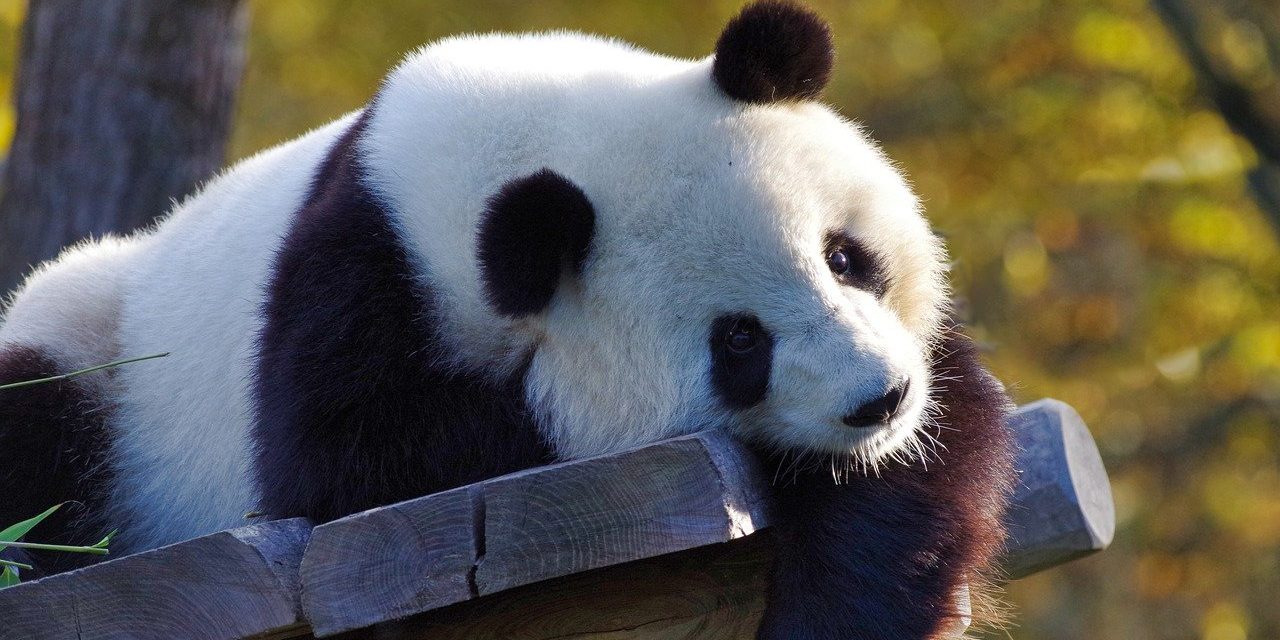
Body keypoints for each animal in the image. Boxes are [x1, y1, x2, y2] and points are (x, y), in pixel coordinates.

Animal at [2, 2, 1018, 637]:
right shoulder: (352, 291)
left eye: (845, 256)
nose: (878, 399)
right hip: (97, 346)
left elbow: (928, 459)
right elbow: (351, 468)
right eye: (739, 341)